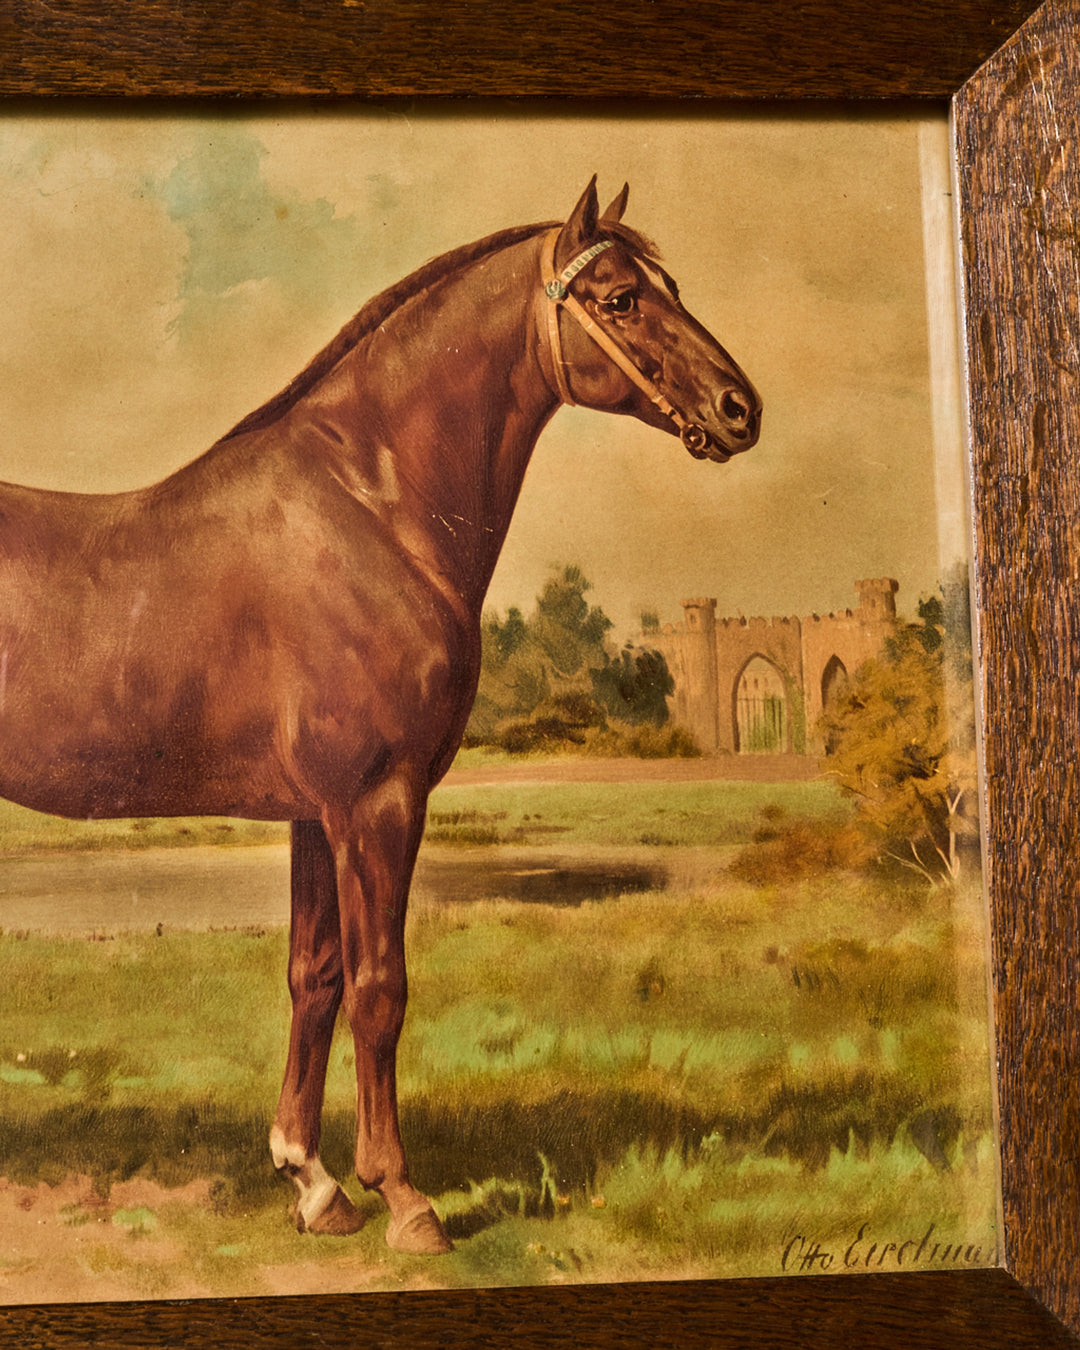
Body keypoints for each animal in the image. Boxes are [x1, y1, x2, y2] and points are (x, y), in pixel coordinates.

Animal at [0, 177, 760, 1254]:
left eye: (672, 287)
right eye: (619, 299)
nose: (741, 407)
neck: (370, 509)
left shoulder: (314, 816)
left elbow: (314, 977)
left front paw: (313, 1183)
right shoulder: (377, 804)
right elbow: (379, 989)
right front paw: (403, 1198)